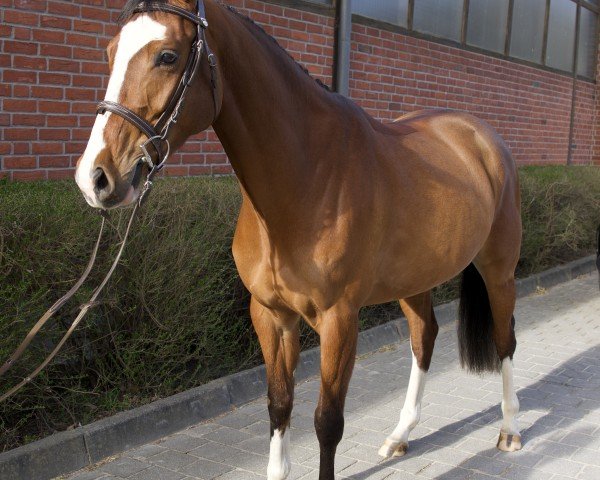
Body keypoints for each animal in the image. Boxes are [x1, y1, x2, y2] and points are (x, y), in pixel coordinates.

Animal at [75, 1, 524, 478]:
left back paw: (510, 430)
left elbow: (327, 421)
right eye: (109, 53)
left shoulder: (339, 319)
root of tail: (481, 136)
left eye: (167, 56)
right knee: (424, 338)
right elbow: (279, 405)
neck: (310, 176)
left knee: (504, 340)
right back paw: (400, 436)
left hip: (498, 271)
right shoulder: (270, 315)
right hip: (414, 279)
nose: (95, 177)